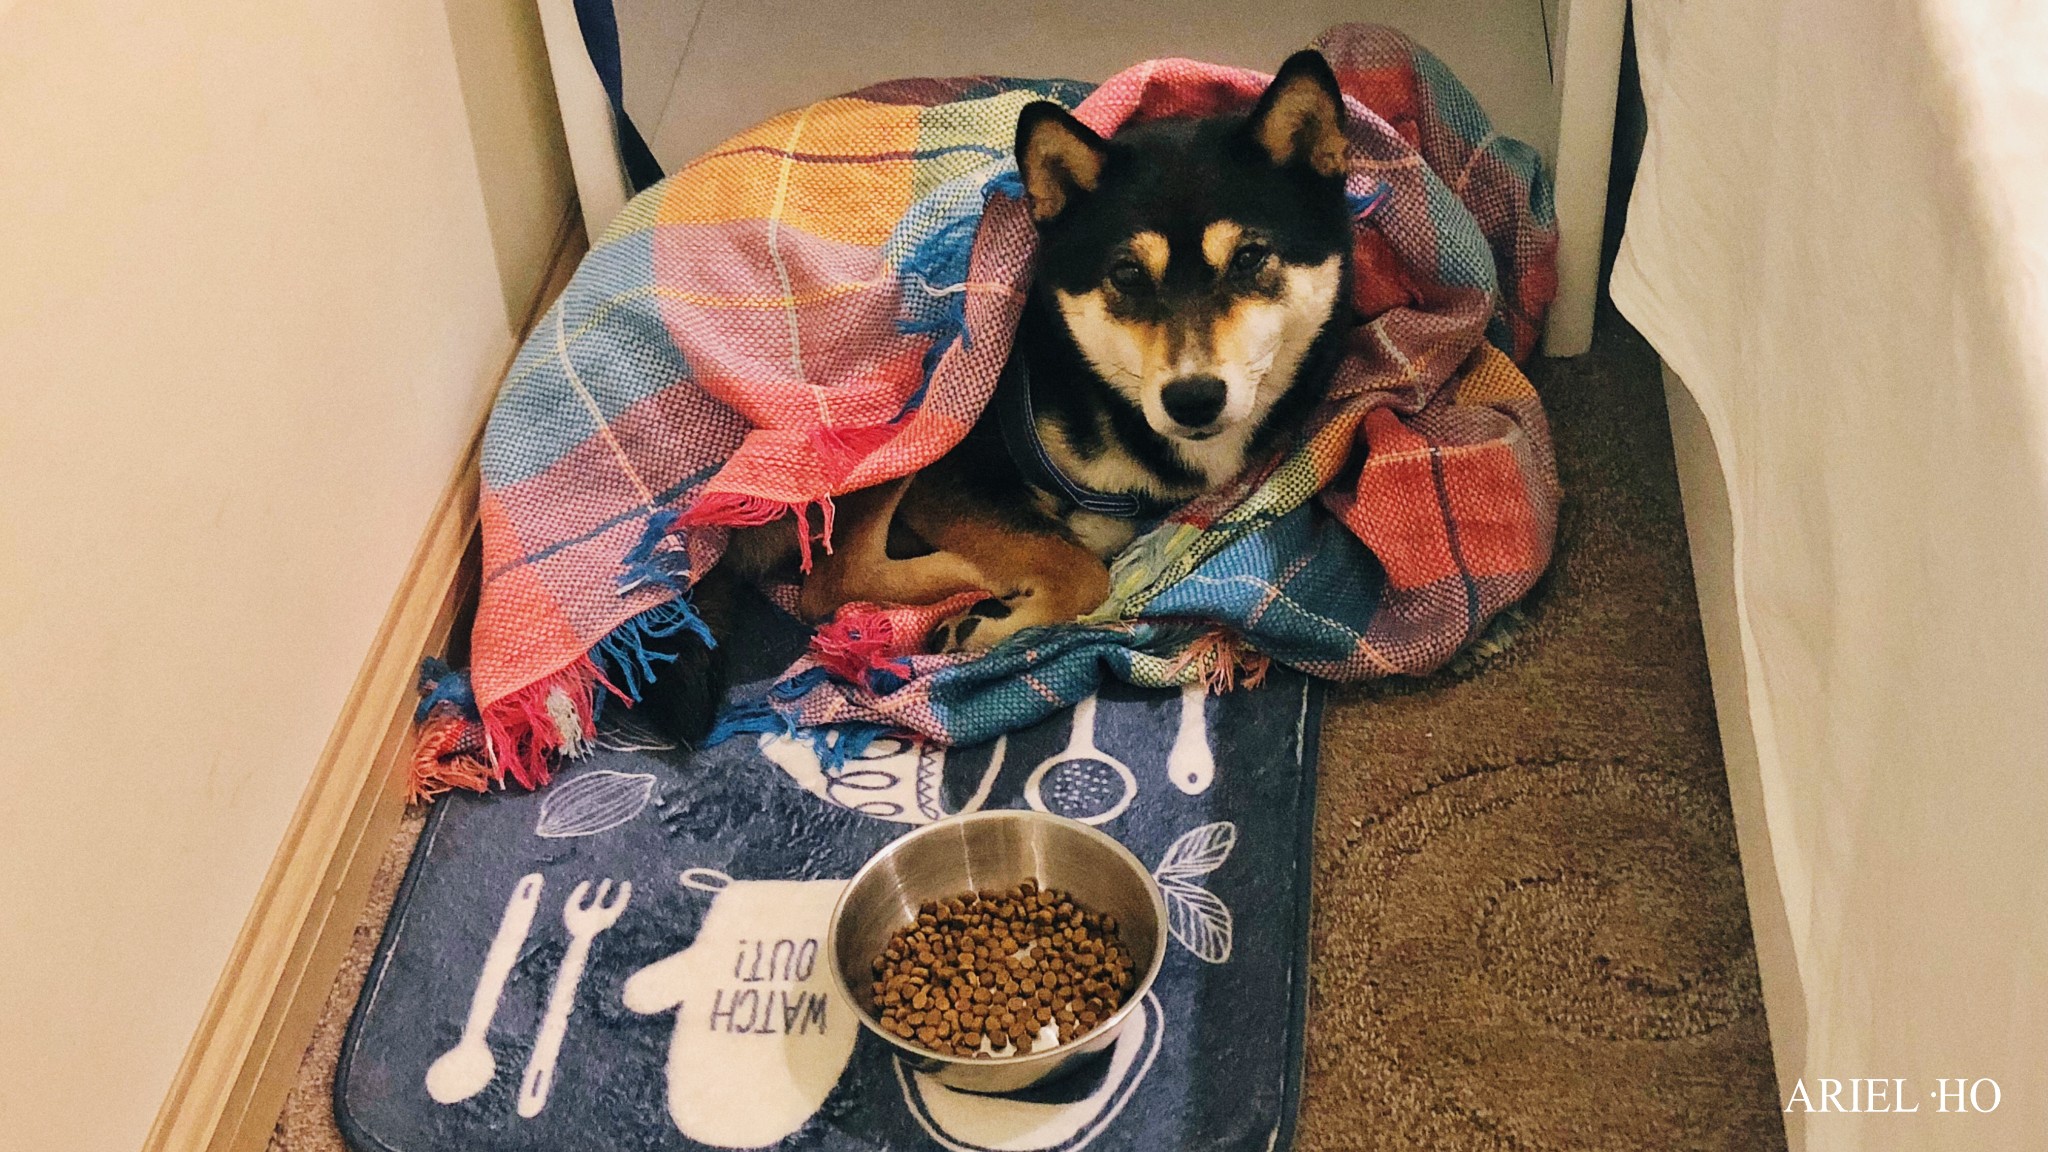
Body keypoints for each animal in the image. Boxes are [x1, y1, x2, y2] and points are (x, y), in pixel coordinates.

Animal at [647, 47, 1359, 733]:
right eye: (1127, 273)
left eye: (1249, 258)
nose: (1193, 399)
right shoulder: (955, 467)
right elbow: (1080, 574)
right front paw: (998, 613)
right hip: (886, 440)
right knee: (837, 581)